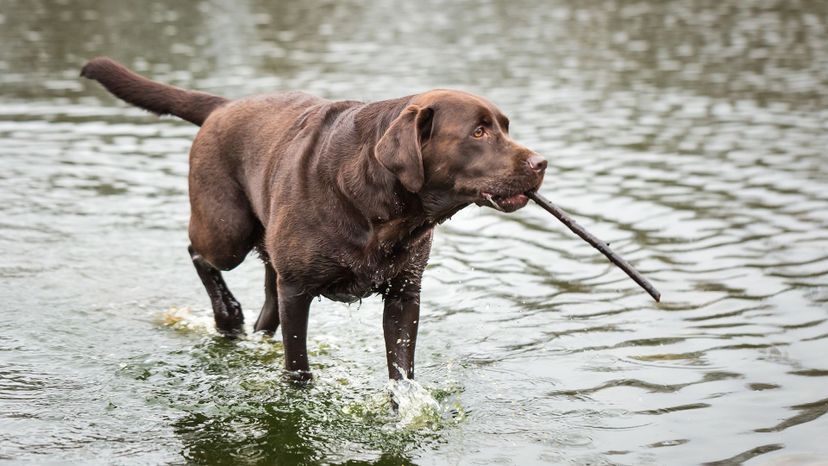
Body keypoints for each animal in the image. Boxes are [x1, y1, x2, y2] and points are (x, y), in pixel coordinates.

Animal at [81, 56, 548, 380]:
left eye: (505, 127)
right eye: (478, 132)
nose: (541, 163)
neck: (383, 212)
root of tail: (224, 105)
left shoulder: (404, 294)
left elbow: (401, 370)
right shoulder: (298, 291)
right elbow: (298, 367)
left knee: (265, 305)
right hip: (228, 230)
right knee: (199, 251)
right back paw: (227, 315)